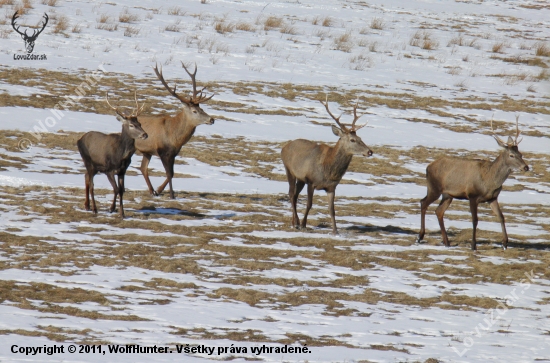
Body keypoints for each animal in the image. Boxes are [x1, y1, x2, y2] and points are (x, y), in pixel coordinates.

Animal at [135, 61, 217, 199]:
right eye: (194, 111)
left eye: (202, 108)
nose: (212, 119)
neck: (175, 138)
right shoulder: (162, 151)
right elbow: (169, 173)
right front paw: (171, 195)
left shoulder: (173, 153)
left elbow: (172, 173)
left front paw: (159, 190)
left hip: (147, 152)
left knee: (143, 168)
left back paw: (152, 191)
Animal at [282, 95, 378, 235]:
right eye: (352, 140)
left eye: (360, 138)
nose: (370, 151)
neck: (328, 170)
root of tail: (284, 147)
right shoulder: (311, 181)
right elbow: (309, 204)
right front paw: (304, 225)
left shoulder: (332, 187)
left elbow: (332, 209)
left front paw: (335, 231)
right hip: (289, 170)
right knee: (290, 194)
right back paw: (297, 224)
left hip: (301, 179)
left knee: (294, 195)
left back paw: (295, 222)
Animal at [420, 116, 532, 250]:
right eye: (511, 155)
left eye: (521, 154)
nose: (526, 167)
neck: (489, 182)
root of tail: (428, 166)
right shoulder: (472, 196)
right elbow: (475, 220)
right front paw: (473, 245)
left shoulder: (492, 198)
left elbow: (501, 216)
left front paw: (505, 243)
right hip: (434, 188)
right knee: (423, 203)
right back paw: (420, 236)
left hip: (448, 195)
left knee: (439, 211)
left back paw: (447, 242)